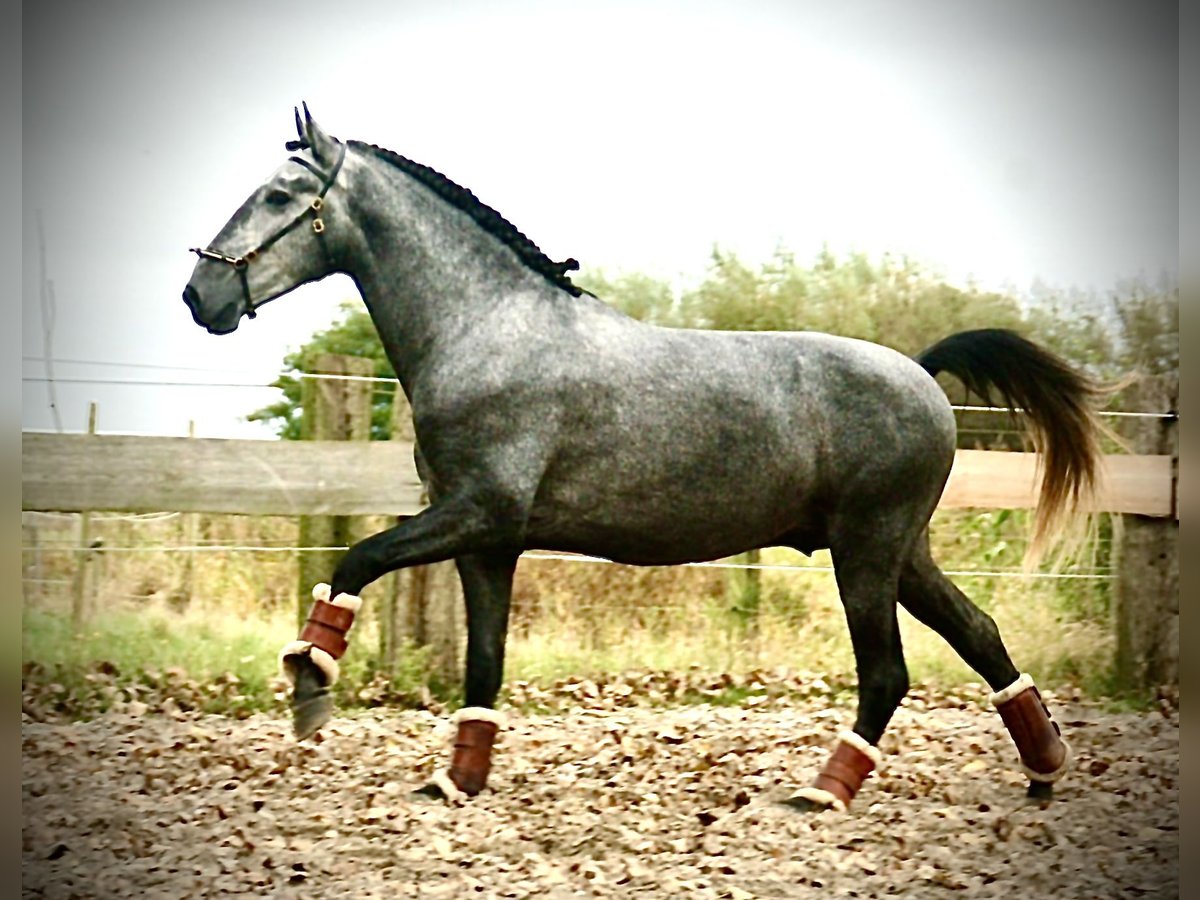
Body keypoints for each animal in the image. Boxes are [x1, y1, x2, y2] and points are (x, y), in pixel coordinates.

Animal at [182, 103, 1099, 811]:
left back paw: (826, 789)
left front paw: (310, 683)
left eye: (279, 194)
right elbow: (484, 662)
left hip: (867, 552)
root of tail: (921, 372)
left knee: (886, 672)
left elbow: (358, 557)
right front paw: (458, 780)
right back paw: (1044, 769)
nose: (201, 296)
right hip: (899, 551)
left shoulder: (476, 512)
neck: (486, 330)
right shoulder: (487, 543)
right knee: (979, 634)